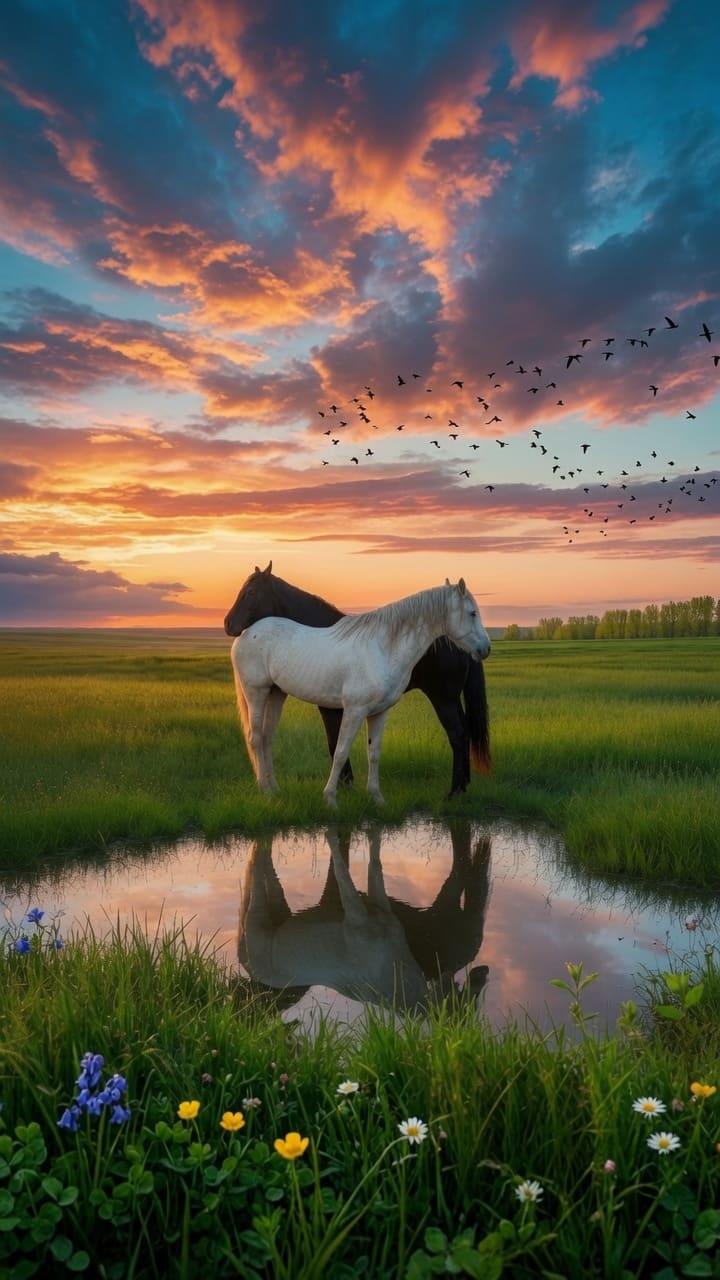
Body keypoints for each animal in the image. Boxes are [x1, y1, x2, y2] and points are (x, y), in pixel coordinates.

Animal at [224, 563, 491, 796]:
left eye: (250, 592)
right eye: (472, 613)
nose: (485, 648)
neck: (383, 645)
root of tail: (247, 634)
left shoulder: (370, 710)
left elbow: (364, 750)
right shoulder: (347, 708)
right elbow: (339, 747)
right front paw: (339, 791)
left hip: (276, 693)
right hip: (258, 692)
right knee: (257, 737)